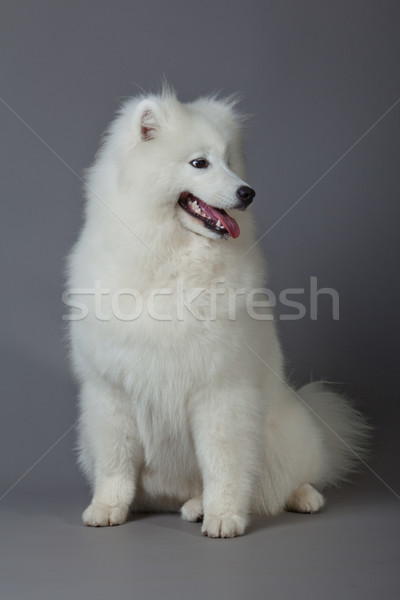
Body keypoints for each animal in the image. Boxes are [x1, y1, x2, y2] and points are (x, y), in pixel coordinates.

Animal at [66, 89, 368, 540]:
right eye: (199, 163)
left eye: (230, 162)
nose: (248, 193)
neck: (170, 258)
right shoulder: (111, 392)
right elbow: (115, 464)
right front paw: (107, 508)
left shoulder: (222, 390)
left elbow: (224, 464)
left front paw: (224, 516)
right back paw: (184, 505)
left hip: (285, 433)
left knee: (284, 483)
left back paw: (296, 498)